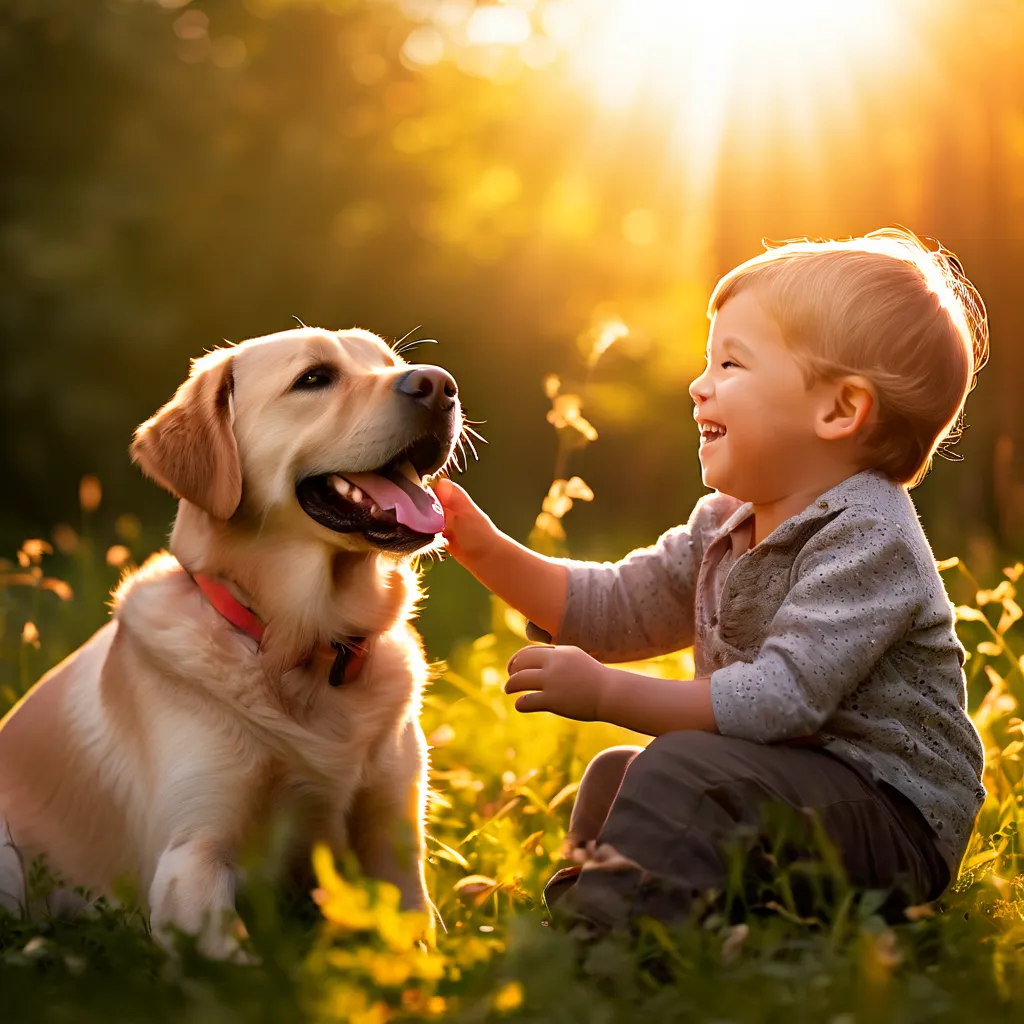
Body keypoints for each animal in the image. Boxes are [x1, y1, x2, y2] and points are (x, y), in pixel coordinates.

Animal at [0, 327, 460, 958]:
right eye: (314, 378)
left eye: (390, 362)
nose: (440, 385)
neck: (300, 648)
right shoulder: (189, 862)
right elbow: (241, 966)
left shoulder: (394, 842)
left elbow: (415, 941)